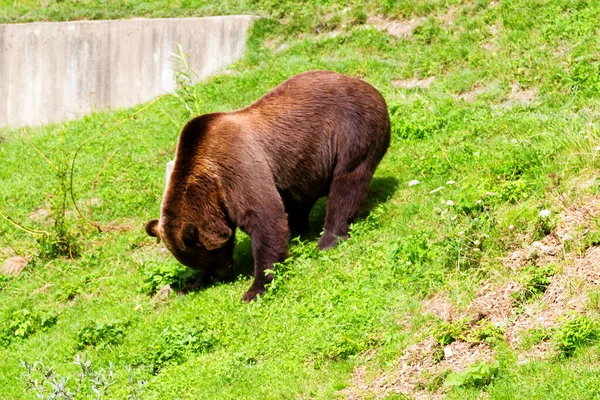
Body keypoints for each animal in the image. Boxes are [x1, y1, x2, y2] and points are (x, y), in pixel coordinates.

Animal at [145, 69, 390, 300]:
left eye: (208, 254)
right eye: (199, 260)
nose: (223, 275)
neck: (210, 183)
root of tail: (367, 86)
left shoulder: (238, 168)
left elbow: (265, 218)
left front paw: (255, 289)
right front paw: (190, 285)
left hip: (352, 129)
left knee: (346, 183)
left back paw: (328, 239)